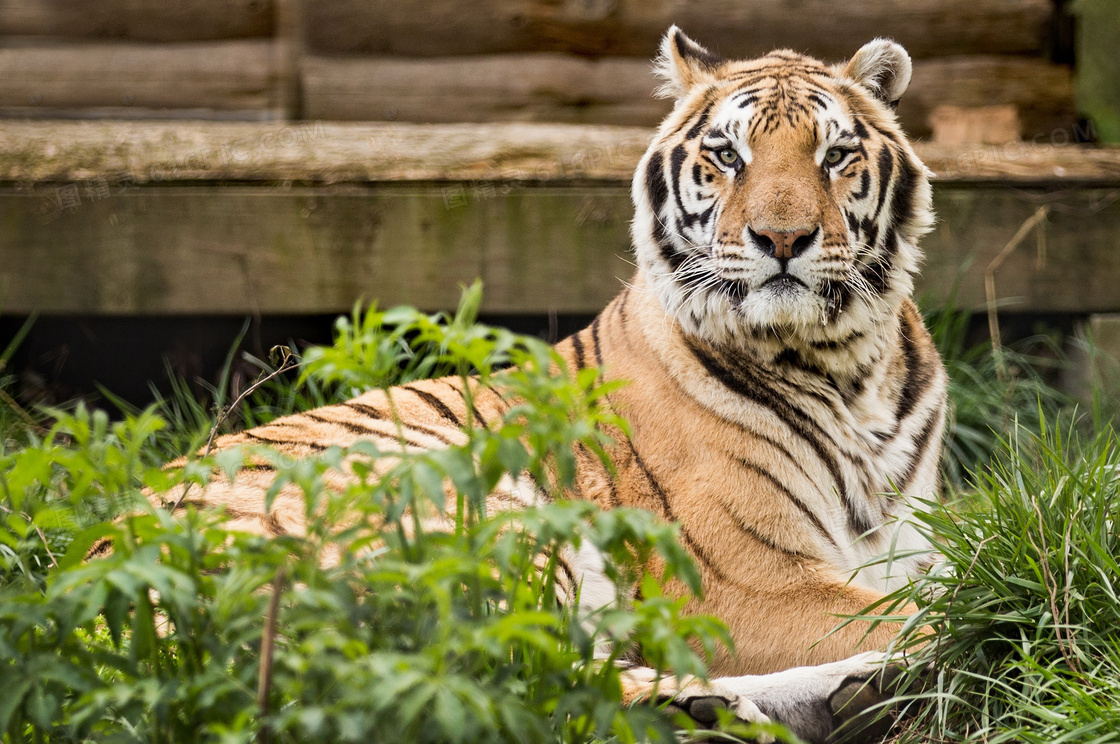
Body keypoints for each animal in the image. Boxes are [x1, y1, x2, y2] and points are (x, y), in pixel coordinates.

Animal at [140, 26, 949, 739]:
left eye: (835, 154)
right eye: (726, 155)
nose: (782, 239)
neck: (847, 368)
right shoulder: (743, 580)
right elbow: (919, 612)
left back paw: (837, 696)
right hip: (478, 512)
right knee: (514, 675)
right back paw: (721, 710)